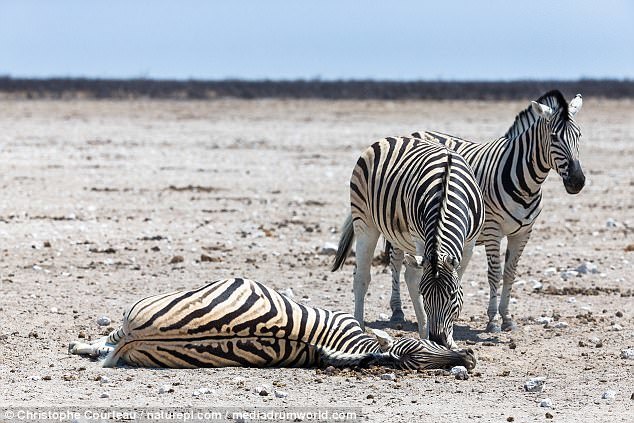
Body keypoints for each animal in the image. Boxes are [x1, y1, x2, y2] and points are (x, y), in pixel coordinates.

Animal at [331, 137, 485, 349]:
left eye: (452, 295)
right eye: (424, 294)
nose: (438, 339)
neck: (446, 191)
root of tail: (389, 139)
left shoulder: (469, 244)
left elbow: (457, 279)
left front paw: (450, 339)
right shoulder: (421, 239)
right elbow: (416, 282)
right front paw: (429, 336)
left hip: (401, 236)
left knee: (406, 273)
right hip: (365, 221)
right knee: (362, 276)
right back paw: (360, 328)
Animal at [387, 90, 585, 333]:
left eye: (579, 135)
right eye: (555, 137)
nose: (577, 181)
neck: (526, 182)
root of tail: (414, 133)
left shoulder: (524, 232)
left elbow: (510, 273)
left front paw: (507, 318)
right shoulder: (493, 230)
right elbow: (495, 274)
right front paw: (492, 320)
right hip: (399, 224)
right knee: (396, 261)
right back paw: (397, 311)